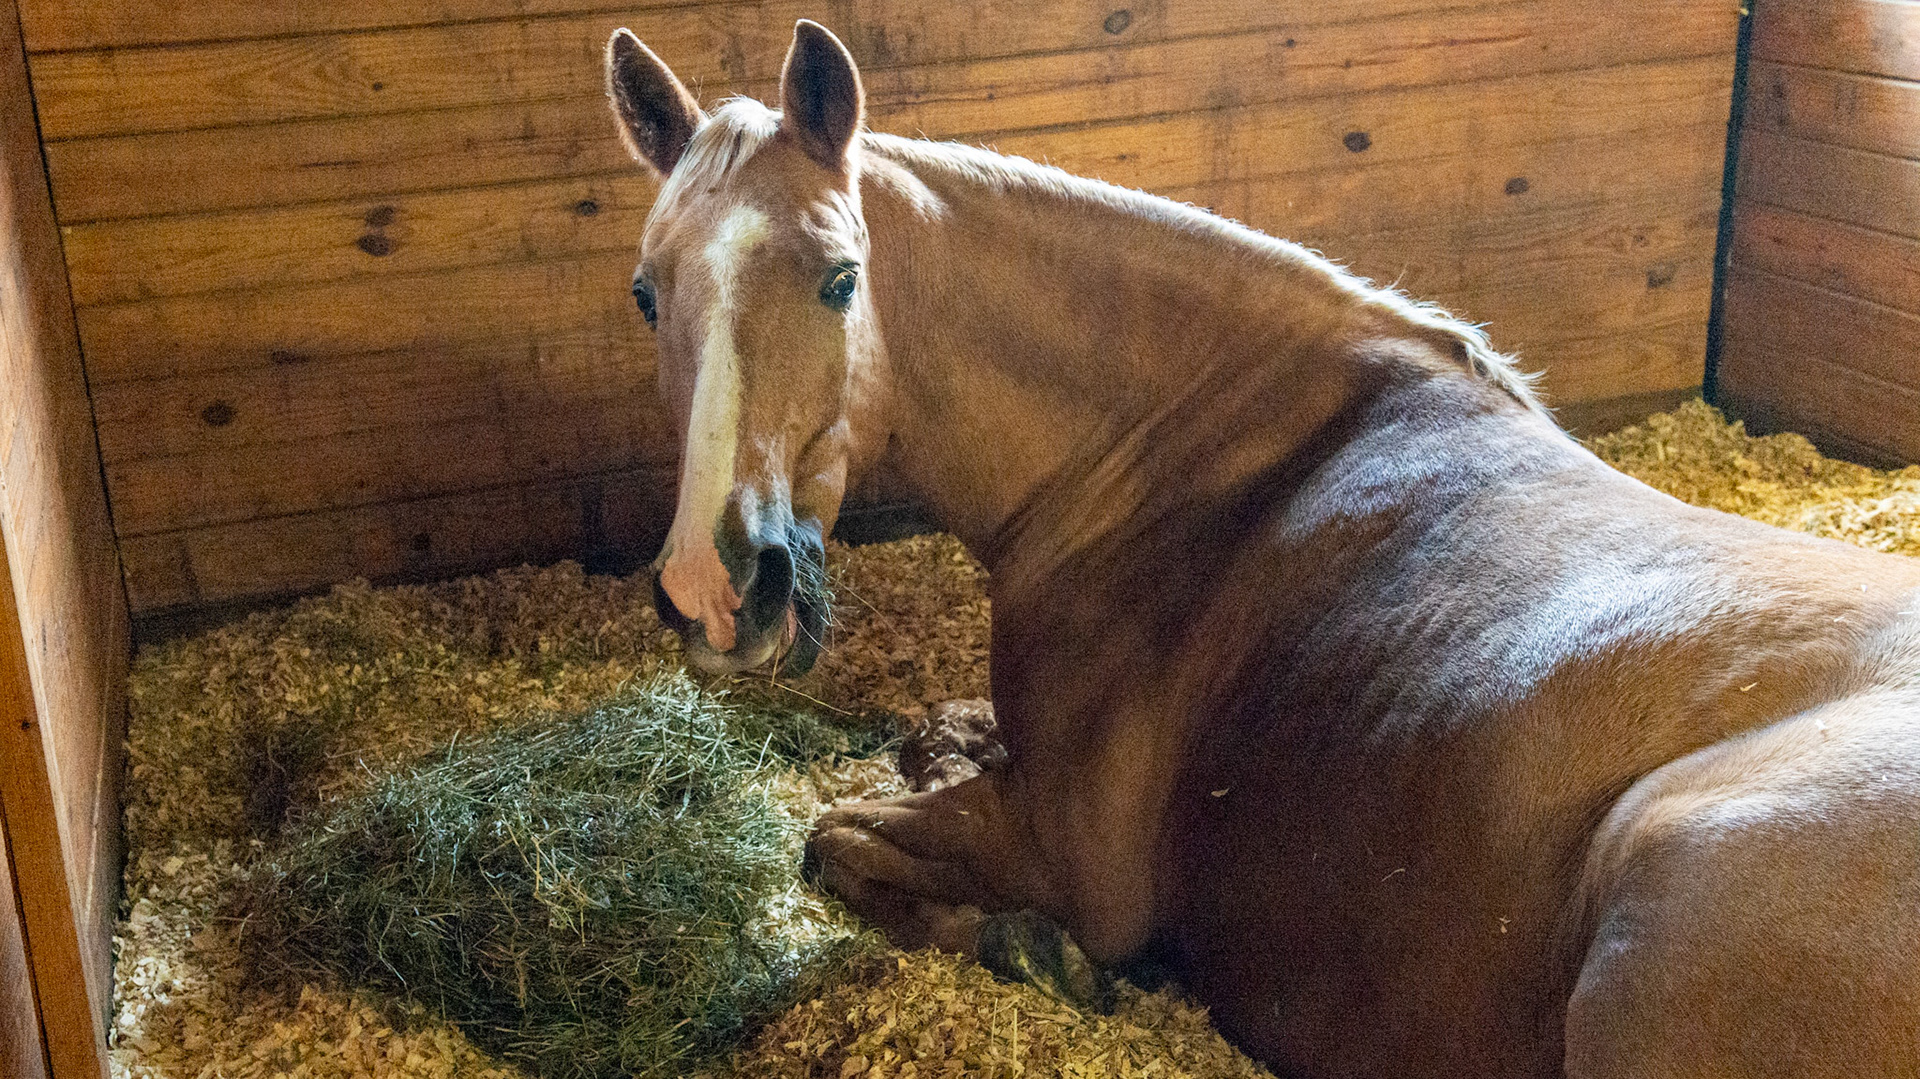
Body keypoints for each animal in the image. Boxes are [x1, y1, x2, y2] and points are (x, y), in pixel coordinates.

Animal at [605, 21, 1920, 1077]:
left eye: (841, 279)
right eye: (645, 292)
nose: (716, 584)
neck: (1197, 463)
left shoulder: (1066, 853)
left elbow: (835, 840)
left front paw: (1026, 947)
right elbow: (932, 738)